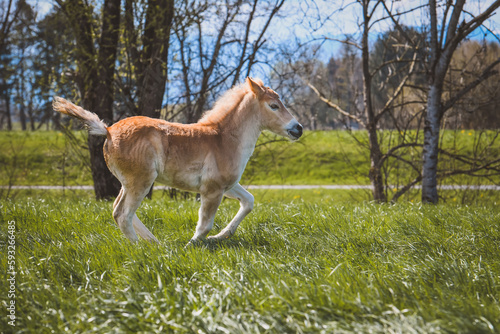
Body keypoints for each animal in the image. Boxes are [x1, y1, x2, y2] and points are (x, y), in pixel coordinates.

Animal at [52, 78, 302, 245]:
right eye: (273, 106)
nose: (298, 128)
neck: (224, 139)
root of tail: (108, 130)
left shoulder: (228, 185)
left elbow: (249, 201)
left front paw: (220, 236)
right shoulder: (212, 189)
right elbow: (204, 223)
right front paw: (193, 244)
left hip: (128, 183)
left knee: (117, 210)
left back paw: (154, 242)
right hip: (141, 181)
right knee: (123, 215)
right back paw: (142, 248)